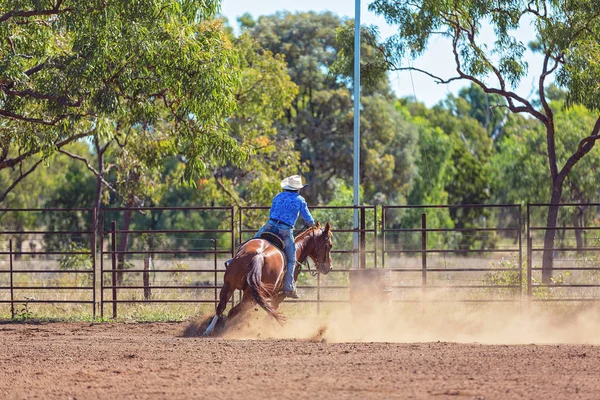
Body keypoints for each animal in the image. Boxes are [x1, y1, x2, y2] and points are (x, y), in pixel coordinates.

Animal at [202, 220, 332, 336]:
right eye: (330, 245)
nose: (329, 267)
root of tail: (259, 255)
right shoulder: (279, 295)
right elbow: (272, 311)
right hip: (252, 297)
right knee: (233, 311)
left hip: (230, 285)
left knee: (222, 307)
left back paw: (209, 331)